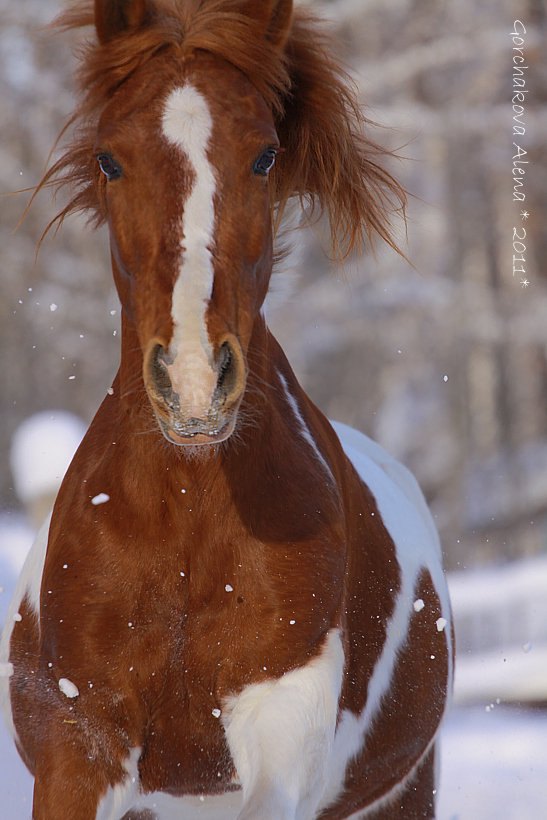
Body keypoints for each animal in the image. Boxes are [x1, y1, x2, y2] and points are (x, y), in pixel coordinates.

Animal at [0, 3, 454, 816]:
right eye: (109, 159)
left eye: (265, 155)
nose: (191, 380)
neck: (185, 522)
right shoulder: (80, 745)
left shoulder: (276, 742)